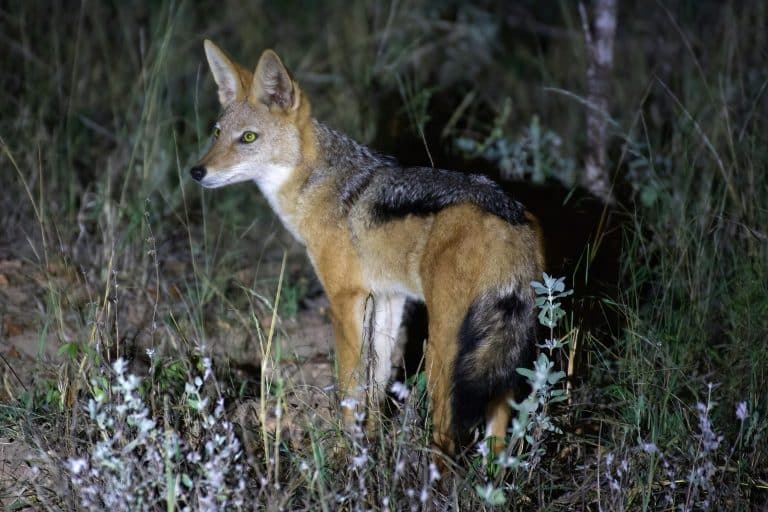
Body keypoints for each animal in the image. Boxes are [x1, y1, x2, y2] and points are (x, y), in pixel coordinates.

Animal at [191, 39, 544, 456]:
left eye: (248, 138)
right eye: (216, 133)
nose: (197, 172)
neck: (319, 186)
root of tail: (508, 214)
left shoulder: (345, 298)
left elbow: (349, 385)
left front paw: (348, 451)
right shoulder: (389, 298)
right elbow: (376, 383)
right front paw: (371, 443)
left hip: (445, 350)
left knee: (446, 435)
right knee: (498, 432)